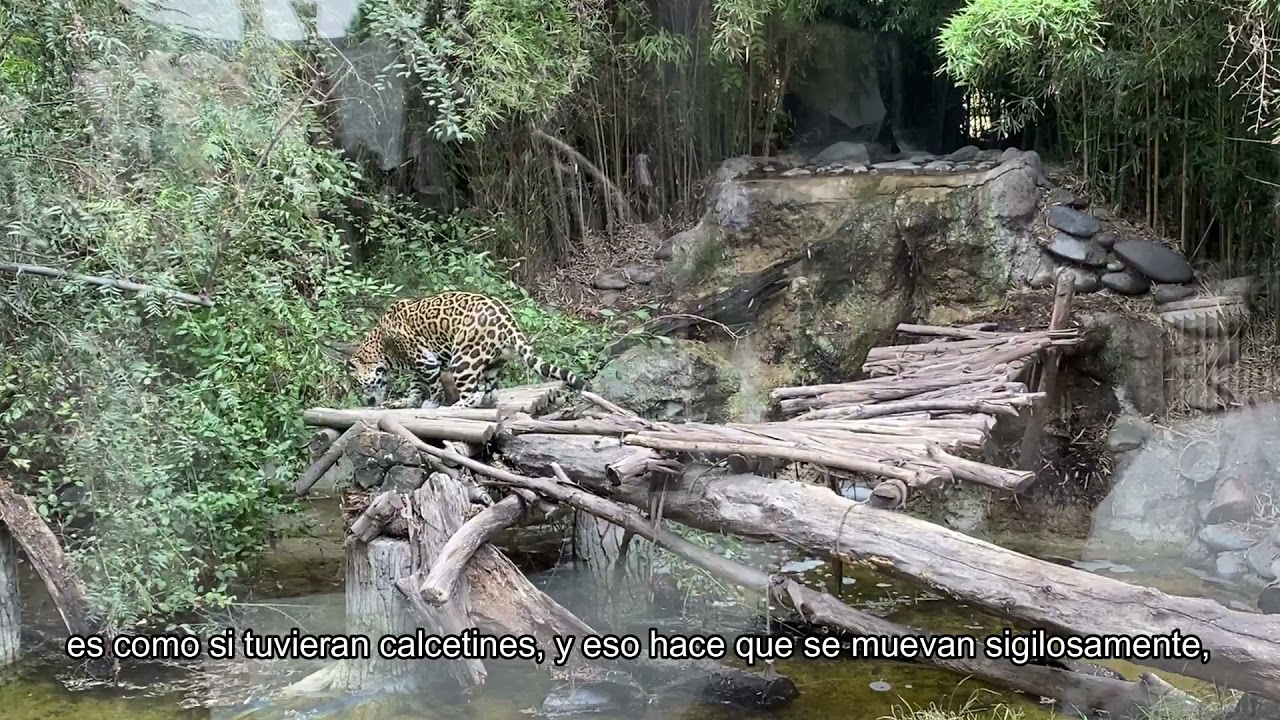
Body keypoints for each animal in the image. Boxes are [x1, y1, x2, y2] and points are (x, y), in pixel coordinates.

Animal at [344, 291, 587, 409]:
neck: (382, 349)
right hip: (495, 360)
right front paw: (407, 402)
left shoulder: (426, 362)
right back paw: (486, 402)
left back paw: (454, 406)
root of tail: (508, 321)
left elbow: (432, 386)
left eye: (357, 385)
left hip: (463, 359)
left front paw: (432, 402)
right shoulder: (417, 365)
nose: (366, 403)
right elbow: (415, 386)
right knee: (492, 389)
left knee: (470, 394)